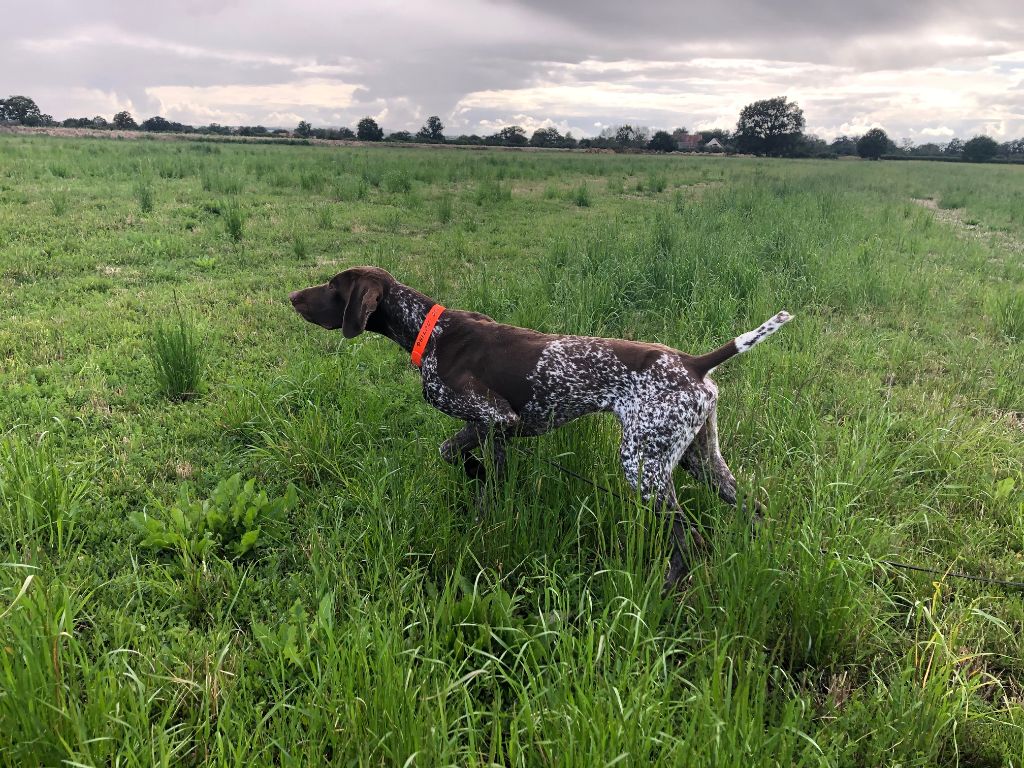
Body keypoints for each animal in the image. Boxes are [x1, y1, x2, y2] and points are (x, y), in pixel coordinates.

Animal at [288, 268, 790, 585]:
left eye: (333, 285)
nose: (292, 296)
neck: (430, 332)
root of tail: (694, 363)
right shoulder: (493, 429)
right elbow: (470, 466)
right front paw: (480, 490)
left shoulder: (496, 419)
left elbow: (461, 458)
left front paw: (476, 483)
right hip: (700, 460)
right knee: (753, 509)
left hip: (643, 466)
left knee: (690, 539)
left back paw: (663, 589)